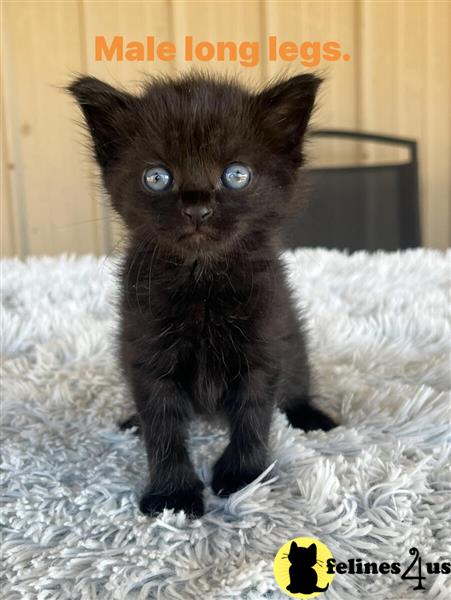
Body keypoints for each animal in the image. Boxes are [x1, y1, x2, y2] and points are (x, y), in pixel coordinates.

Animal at [69, 72, 336, 516]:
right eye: (157, 177)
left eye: (236, 175)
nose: (197, 209)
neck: (202, 285)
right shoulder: (145, 349)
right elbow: (162, 426)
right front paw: (172, 494)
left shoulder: (264, 342)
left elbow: (253, 415)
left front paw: (243, 478)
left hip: (294, 343)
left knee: (296, 384)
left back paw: (311, 416)